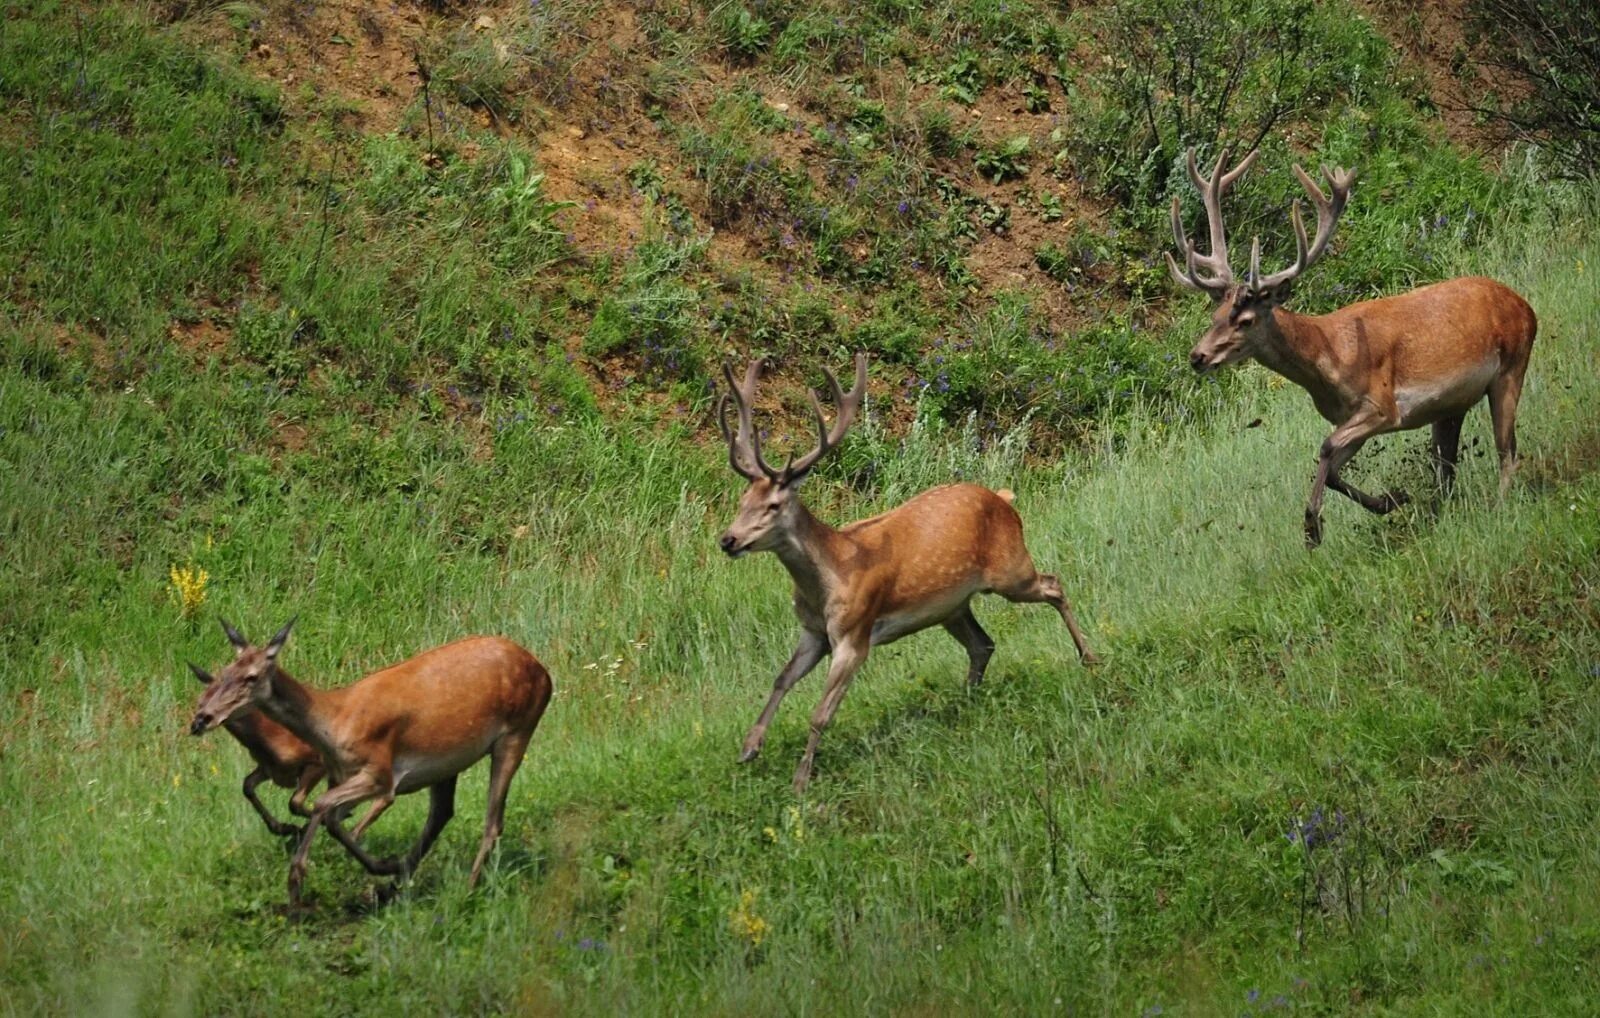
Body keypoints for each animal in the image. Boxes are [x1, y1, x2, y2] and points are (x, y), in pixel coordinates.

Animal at [185, 617, 323, 838]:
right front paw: (281, 828)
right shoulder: (267, 768)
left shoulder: (315, 760)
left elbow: (296, 802)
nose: (197, 723)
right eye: (200, 701)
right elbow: (247, 786)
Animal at [716, 355, 1100, 793]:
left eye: (774, 505)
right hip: (952, 606)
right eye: (743, 499)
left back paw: (1089, 657)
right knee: (983, 644)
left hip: (1011, 571)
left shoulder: (855, 633)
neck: (828, 578)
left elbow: (820, 713)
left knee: (1053, 584)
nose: (728, 539)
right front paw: (749, 747)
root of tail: (1005, 499)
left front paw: (800, 780)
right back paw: (964, 703)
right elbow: (781, 679)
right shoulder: (813, 632)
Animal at [1171, 144, 1529, 547]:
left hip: (1512, 368)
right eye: (1215, 314)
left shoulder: (1383, 406)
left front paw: (1311, 527)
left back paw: (1499, 508)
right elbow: (1334, 469)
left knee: (1507, 451)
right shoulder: (1350, 417)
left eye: (1245, 321)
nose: (1197, 356)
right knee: (1447, 468)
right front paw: (1392, 499)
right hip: (1450, 406)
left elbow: (1325, 447)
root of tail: (1525, 306)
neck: (1329, 359)